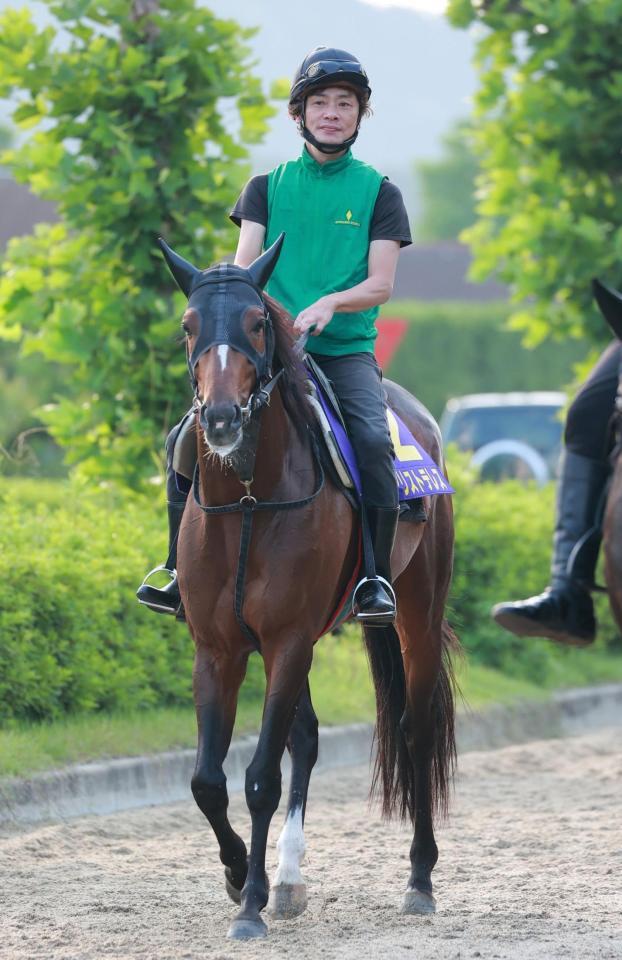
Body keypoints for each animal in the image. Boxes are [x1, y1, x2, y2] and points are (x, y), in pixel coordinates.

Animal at [158, 236, 458, 940]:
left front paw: (249, 907)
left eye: (256, 323)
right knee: (308, 737)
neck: (246, 498)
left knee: (415, 729)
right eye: (187, 326)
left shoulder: (290, 639)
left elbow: (260, 777)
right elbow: (207, 780)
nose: (219, 418)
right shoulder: (219, 648)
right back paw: (290, 879)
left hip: (417, 610)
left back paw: (419, 880)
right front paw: (242, 875)